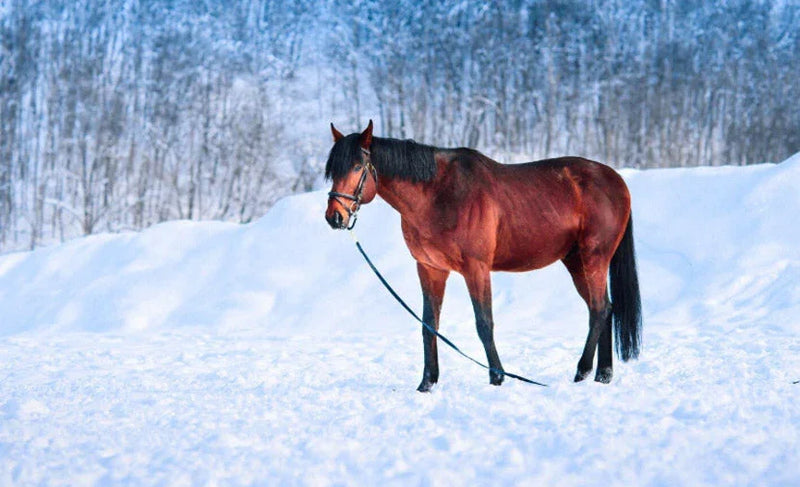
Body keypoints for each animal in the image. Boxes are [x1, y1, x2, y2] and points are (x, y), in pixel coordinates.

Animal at [325, 120, 641, 392]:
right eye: (332, 170)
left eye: (357, 166)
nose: (335, 217)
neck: (438, 194)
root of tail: (616, 180)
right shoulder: (430, 268)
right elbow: (429, 325)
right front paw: (427, 383)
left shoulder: (476, 269)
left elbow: (484, 323)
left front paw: (497, 377)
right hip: (576, 262)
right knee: (605, 309)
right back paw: (603, 375)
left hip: (593, 257)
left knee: (599, 310)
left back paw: (583, 371)